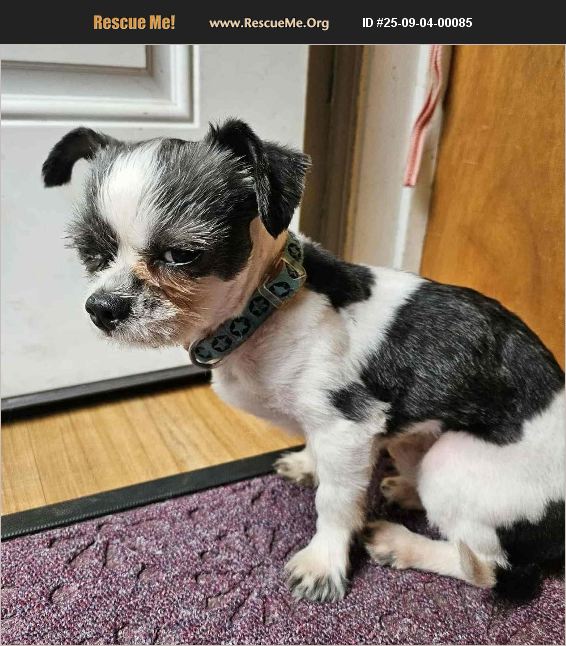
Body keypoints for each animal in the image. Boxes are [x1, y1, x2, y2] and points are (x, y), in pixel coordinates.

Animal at [43, 119, 564, 603]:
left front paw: (323, 561)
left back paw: (402, 543)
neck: (265, 308)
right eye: (92, 253)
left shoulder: (347, 426)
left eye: (182, 255)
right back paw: (404, 491)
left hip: (452, 461)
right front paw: (308, 464)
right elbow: (320, 458)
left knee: (489, 566)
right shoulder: (332, 430)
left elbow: (334, 502)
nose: (102, 307)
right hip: (417, 443)